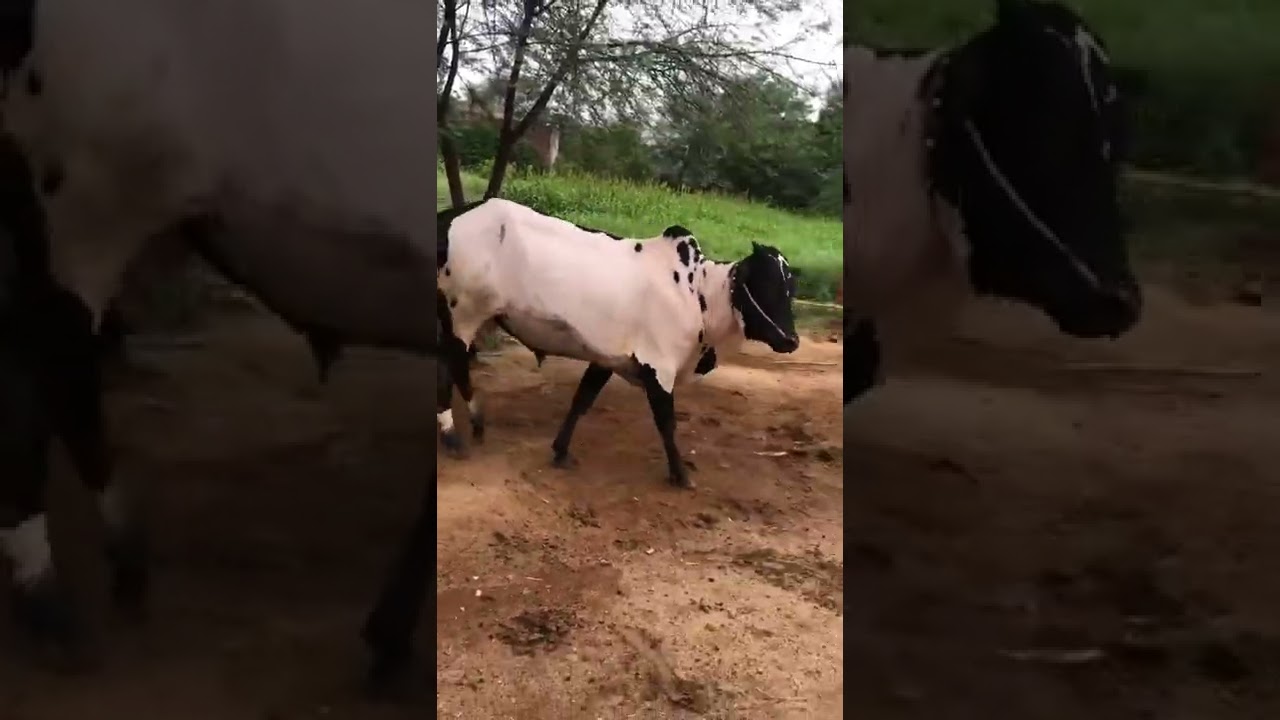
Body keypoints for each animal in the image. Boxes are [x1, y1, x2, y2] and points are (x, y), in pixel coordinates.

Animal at [437, 198, 801, 489]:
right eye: (765, 285)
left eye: (790, 289)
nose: (791, 340)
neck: (697, 294)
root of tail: (451, 216)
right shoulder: (658, 367)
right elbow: (667, 423)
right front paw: (680, 474)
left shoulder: (607, 358)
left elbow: (581, 401)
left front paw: (561, 450)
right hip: (462, 313)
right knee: (452, 364)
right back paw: (456, 433)